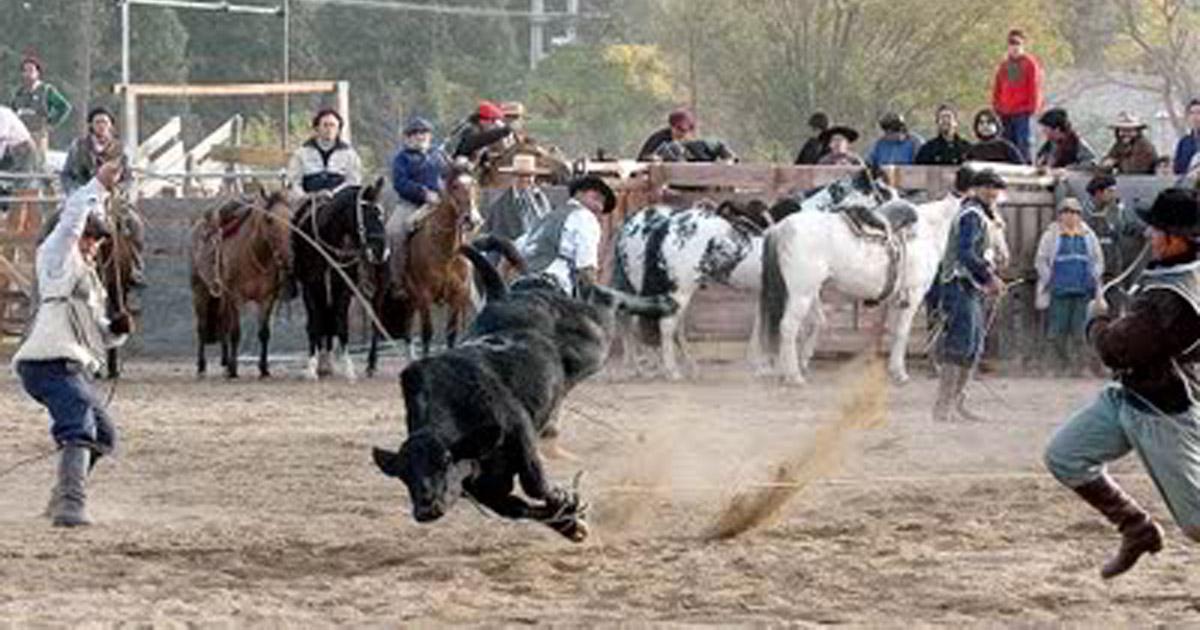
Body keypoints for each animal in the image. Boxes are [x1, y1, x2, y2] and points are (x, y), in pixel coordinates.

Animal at [193, 189, 296, 379]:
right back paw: (202, 366)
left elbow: (264, 333)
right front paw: (234, 369)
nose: (289, 257)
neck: (255, 254)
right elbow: (236, 332)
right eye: (269, 219)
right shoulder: (236, 297)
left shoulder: (266, 299)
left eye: (292, 218)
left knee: (223, 324)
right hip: (200, 292)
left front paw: (264, 368)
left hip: (222, 298)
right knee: (202, 328)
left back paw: (225, 362)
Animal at [291, 177, 388, 384]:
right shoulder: (311, 288)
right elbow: (315, 325)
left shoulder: (343, 289)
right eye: (366, 214)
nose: (380, 252)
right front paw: (311, 368)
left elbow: (341, 325)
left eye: (380, 213)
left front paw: (349, 368)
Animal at [619, 169, 892, 379]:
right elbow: (802, 323)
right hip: (679, 289)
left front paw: (765, 364)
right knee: (663, 325)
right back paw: (668, 370)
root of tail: (665, 224)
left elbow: (783, 324)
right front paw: (788, 363)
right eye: (882, 191)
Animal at [758, 194, 964, 386]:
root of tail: (780, 227)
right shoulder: (913, 295)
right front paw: (900, 373)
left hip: (810, 293)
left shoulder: (894, 299)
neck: (927, 234)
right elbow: (901, 332)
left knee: (814, 323)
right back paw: (793, 376)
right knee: (789, 327)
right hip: (801, 293)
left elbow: (890, 332)